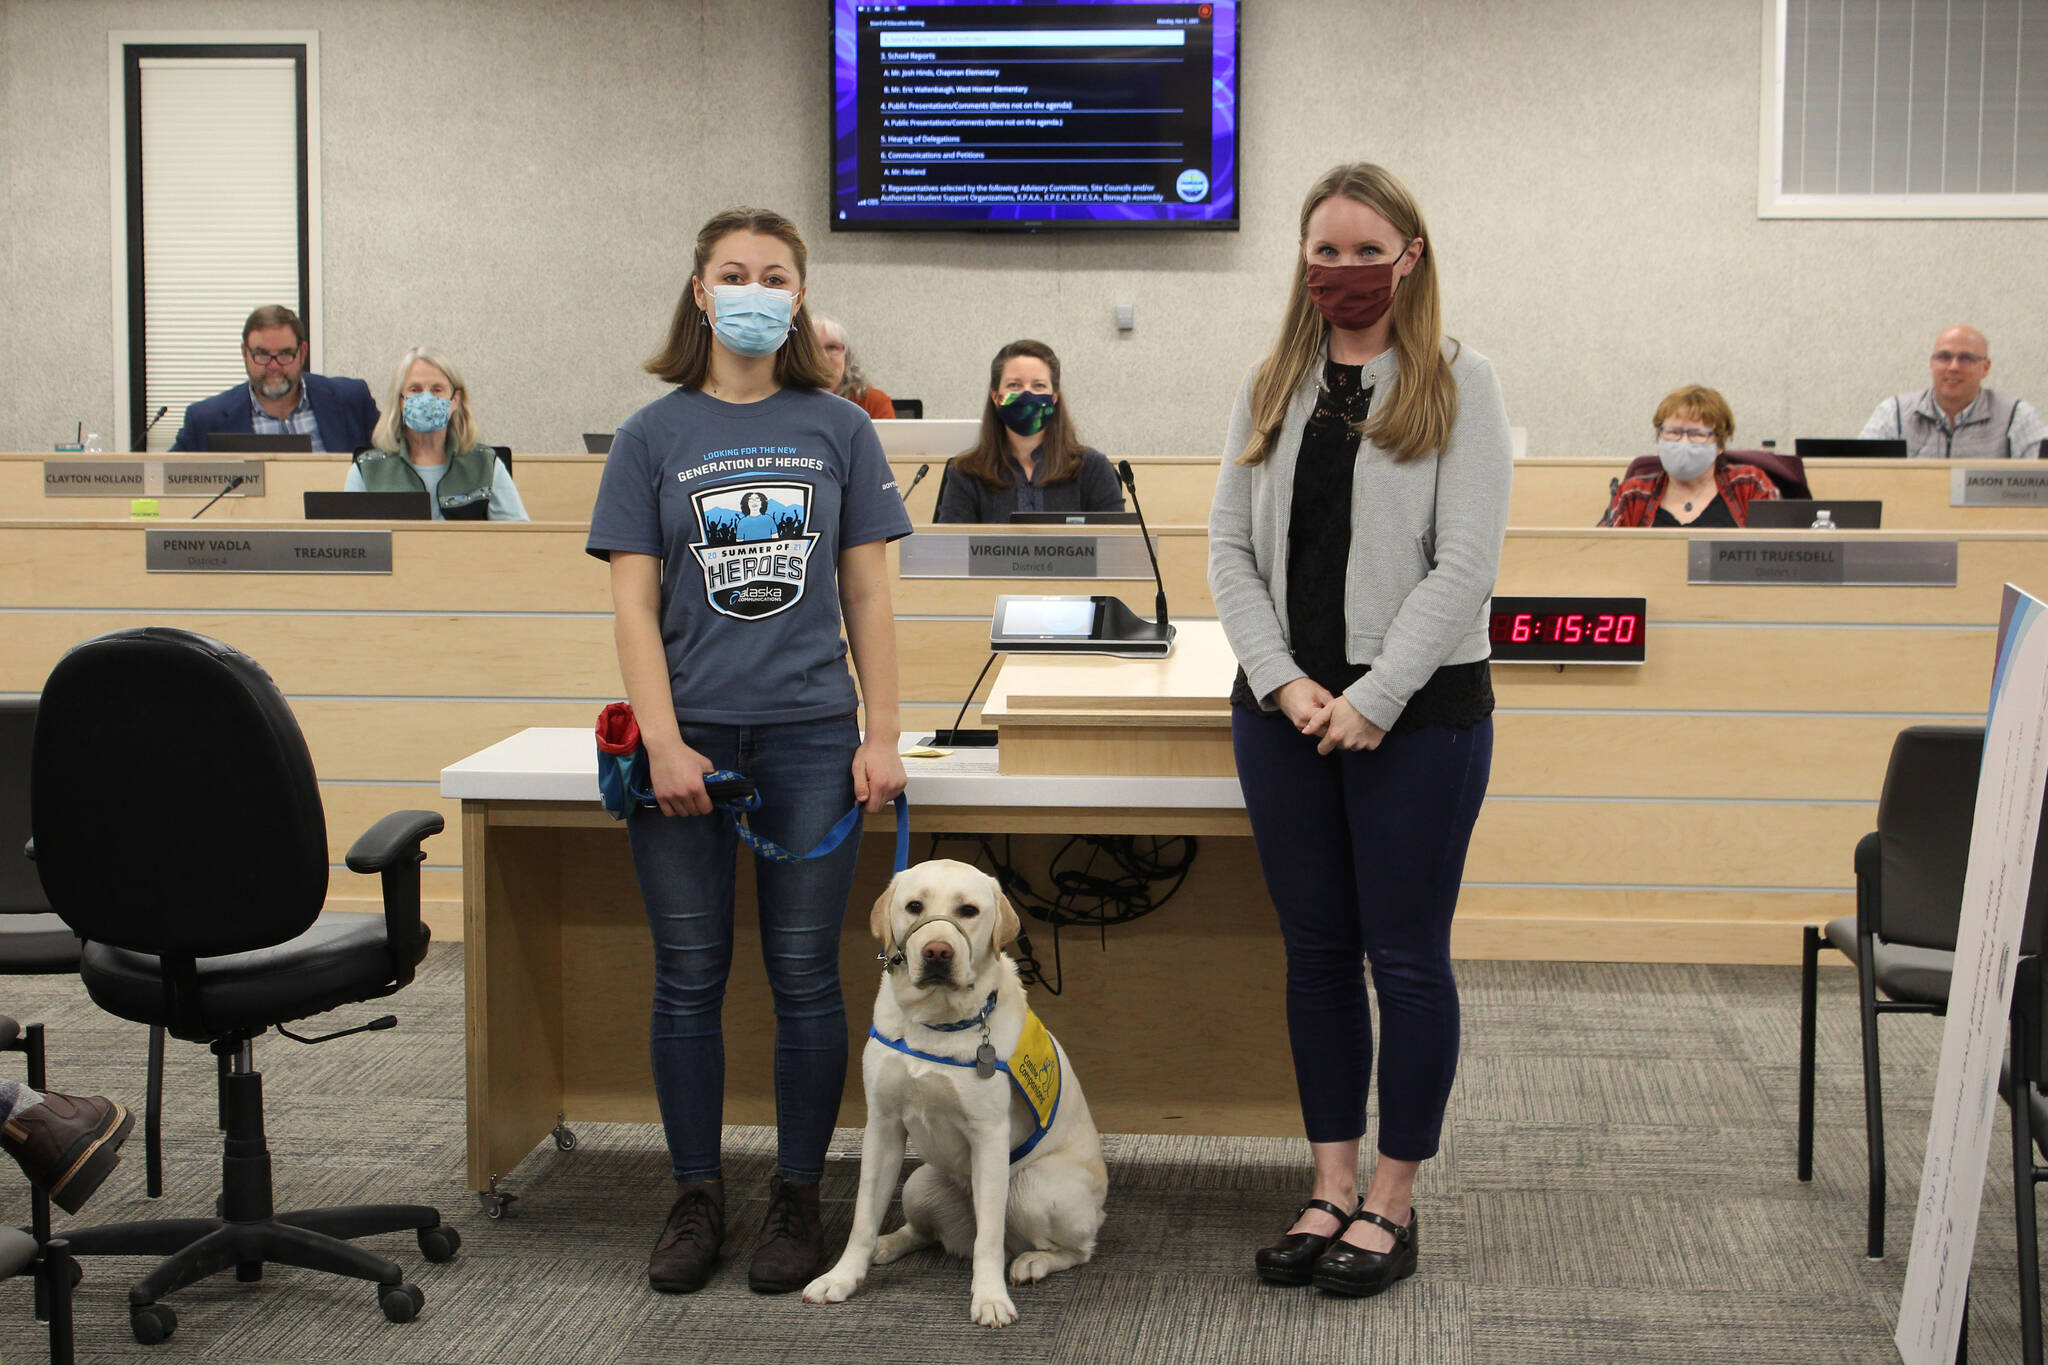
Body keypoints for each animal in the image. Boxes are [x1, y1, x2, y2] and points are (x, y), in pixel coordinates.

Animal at [806, 859, 1114, 1326]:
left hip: (1035, 1190)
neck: (934, 1021)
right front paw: (841, 1277)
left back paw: (1033, 1263)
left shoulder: (988, 1135)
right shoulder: (882, 1126)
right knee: (923, 1231)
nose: (937, 951)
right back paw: (887, 1244)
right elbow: (863, 1217)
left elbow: (988, 1239)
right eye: (914, 906)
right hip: (919, 1183)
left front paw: (990, 1298)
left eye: (968, 910)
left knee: (1072, 1249)